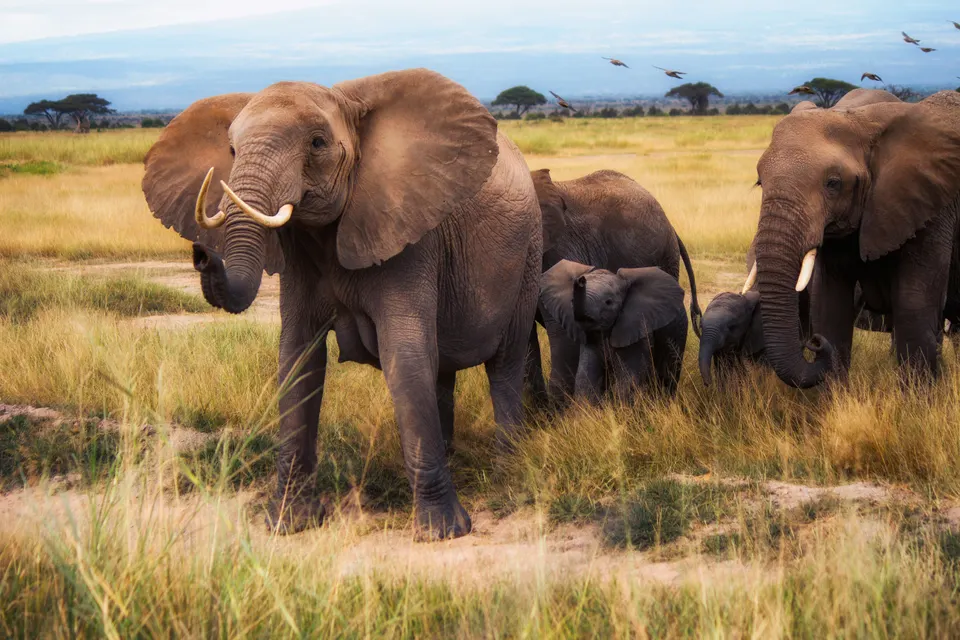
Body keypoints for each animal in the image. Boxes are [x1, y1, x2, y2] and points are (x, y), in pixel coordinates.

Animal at [141, 68, 543, 541]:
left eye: (317, 143)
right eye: (232, 150)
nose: (202, 253)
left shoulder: (408, 232)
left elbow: (404, 357)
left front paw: (442, 532)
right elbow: (298, 360)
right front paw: (287, 524)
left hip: (528, 256)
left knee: (504, 365)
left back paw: (506, 470)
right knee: (442, 369)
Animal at [539, 260, 687, 401]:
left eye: (608, 302)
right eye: (571, 300)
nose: (581, 280)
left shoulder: (635, 330)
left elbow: (628, 380)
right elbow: (585, 378)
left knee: (667, 374)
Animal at [745, 88, 960, 387]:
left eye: (833, 184)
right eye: (760, 182)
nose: (814, 342)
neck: (859, 118)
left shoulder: (932, 205)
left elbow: (914, 307)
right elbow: (830, 305)